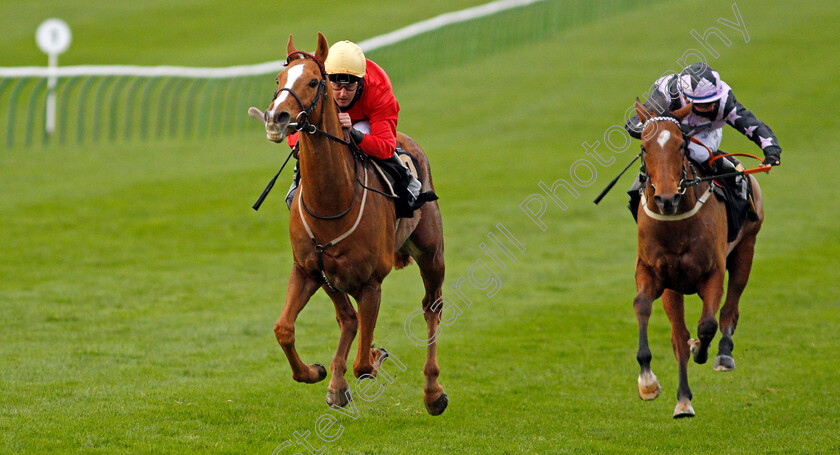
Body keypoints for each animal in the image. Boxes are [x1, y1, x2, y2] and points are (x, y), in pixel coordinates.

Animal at [251, 33, 446, 416]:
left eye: (314, 81)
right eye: (278, 81)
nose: (276, 118)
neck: (332, 200)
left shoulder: (371, 282)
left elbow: (364, 365)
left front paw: (370, 357)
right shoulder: (308, 269)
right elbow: (284, 329)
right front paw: (316, 373)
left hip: (432, 255)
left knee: (431, 307)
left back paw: (433, 392)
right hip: (331, 277)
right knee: (348, 319)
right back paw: (338, 383)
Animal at [632, 101, 764, 418]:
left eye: (681, 145)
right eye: (644, 147)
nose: (666, 198)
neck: (676, 222)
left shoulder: (712, 272)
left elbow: (707, 325)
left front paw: (701, 350)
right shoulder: (653, 273)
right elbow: (643, 306)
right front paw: (647, 382)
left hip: (746, 249)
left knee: (730, 308)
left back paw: (723, 354)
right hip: (674, 288)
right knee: (678, 336)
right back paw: (683, 401)